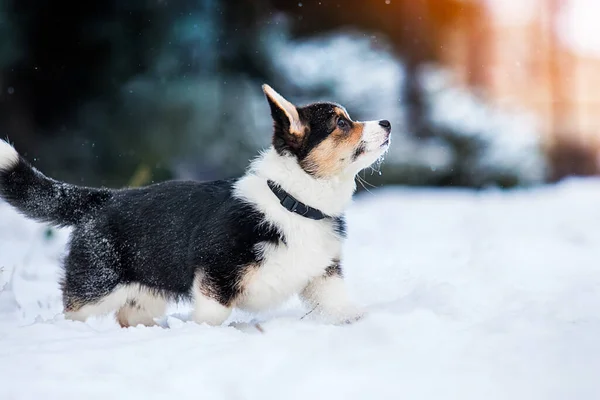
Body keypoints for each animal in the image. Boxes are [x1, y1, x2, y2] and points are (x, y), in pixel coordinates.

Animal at [0, 85, 392, 328]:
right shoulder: (215, 278)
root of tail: (103, 197)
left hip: (145, 295)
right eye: (341, 122)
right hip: (96, 286)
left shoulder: (322, 277)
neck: (293, 202)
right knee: (75, 311)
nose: (388, 122)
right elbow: (212, 318)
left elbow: (341, 306)